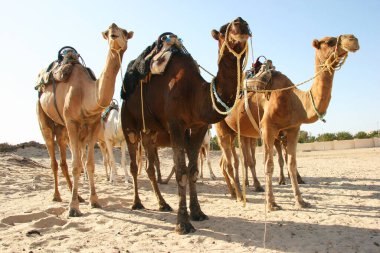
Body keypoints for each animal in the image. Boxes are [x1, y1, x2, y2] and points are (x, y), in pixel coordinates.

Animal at [36, 23, 134, 215]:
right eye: (108, 33)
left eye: (124, 32)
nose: (113, 29)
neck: (86, 94)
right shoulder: (72, 123)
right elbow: (77, 165)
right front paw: (73, 208)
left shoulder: (94, 125)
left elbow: (89, 164)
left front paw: (94, 200)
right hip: (45, 119)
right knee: (55, 160)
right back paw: (57, 196)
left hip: (63, 128)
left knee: (66, 161)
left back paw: (78, 196)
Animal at [121, 17, 252, 233]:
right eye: (223, 30)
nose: (240, 23)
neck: (194, 93)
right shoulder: (176, 125)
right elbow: (181, 172)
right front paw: (183, 223)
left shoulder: (199, 126)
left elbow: (193, 171)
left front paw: (197, 213)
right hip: (129, 125)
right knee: (133, 165)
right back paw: (136, 203)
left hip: (150, 132)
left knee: (149, 166)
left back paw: (163, 204)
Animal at [223, 34, 360, 211]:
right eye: (329, 41)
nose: (353, 39)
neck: (294, 99)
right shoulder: (268, 128)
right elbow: (269, 164)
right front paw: (271, 203)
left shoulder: (293, 129)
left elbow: (292, 164)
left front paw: (300, 200)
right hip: (222, 129)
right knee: (230, 163)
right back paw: (240, 196)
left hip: (237, 133)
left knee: (231, 162)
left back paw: (235, 192)